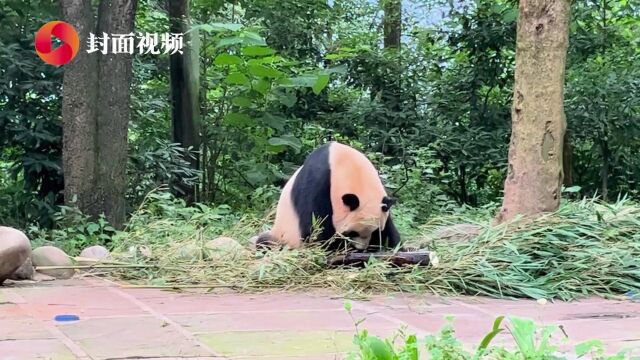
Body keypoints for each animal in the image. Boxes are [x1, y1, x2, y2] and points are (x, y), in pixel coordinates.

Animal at [255, 141, 400, 253]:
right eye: (352, 233)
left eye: (376, 231)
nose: (361, 248)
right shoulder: (318, 183)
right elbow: (316, 228)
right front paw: (338, 247)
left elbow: (389, 229)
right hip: (282, 235)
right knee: (265, 242)